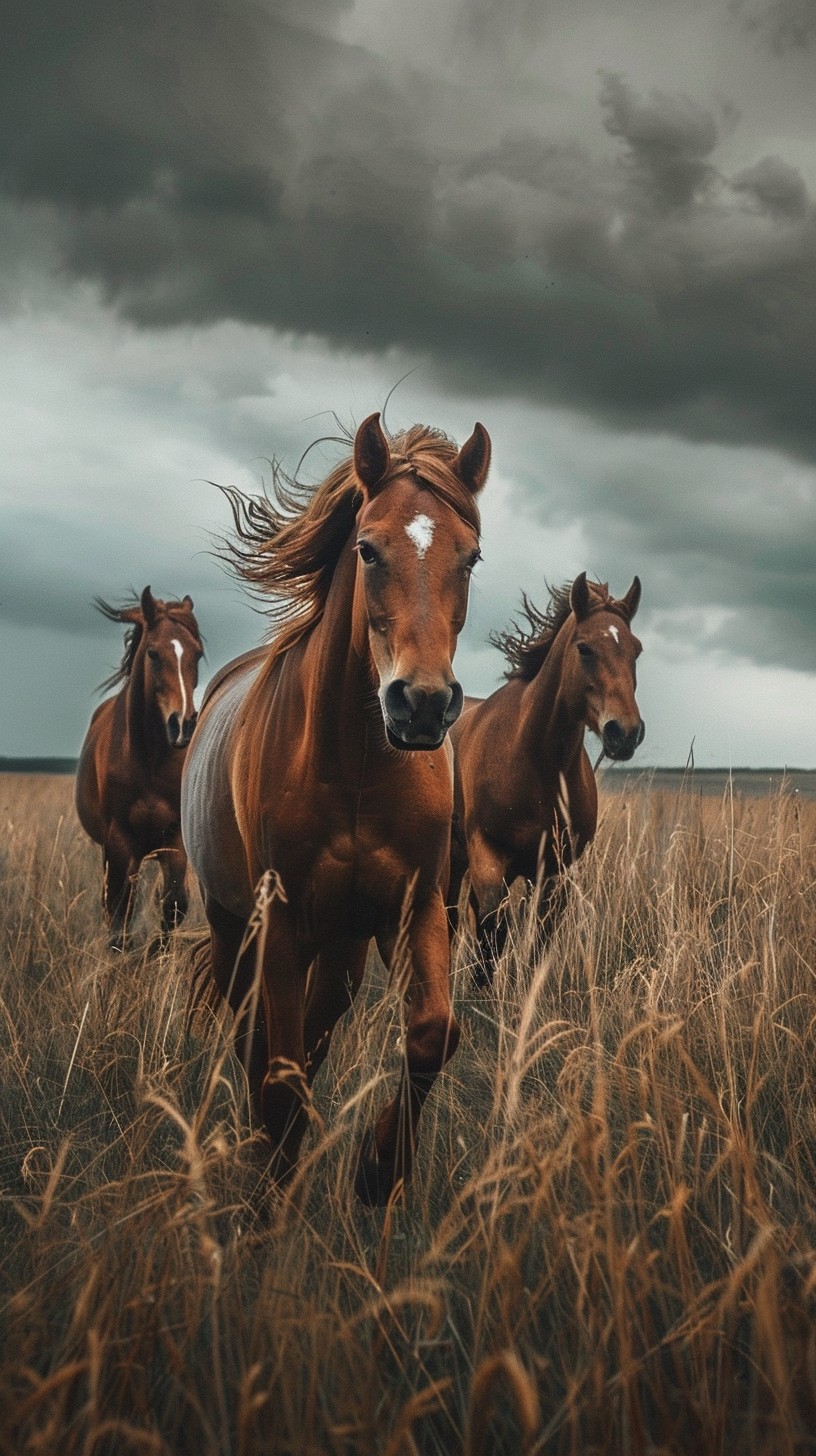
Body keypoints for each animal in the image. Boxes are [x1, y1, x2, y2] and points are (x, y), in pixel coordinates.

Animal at [75, 587, 203, 951]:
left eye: (198, 654)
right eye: (153, 654)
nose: (183, 725)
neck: (149, 762)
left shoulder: (174, 840)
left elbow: (174, 904)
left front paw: (157, 954)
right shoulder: (119, 843)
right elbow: (120, 913)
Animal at [181, 412, 490, 1205]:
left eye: (471, 557)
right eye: (368, 549)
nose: (421, 704)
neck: (355, 769)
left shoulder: (414, 908)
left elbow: (432, 1034)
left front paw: (380, 1170)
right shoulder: (281, 923)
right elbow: (278, 1075)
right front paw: (270, 1197)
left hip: (343, 947)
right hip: (236, 930)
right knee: (253, 1039)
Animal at [449, 573, 644, 981]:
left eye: (636, 650)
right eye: (584, 649)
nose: (625, 733)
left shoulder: (556, 874)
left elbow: (537, 945)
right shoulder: (489, 857)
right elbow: (492, 935)